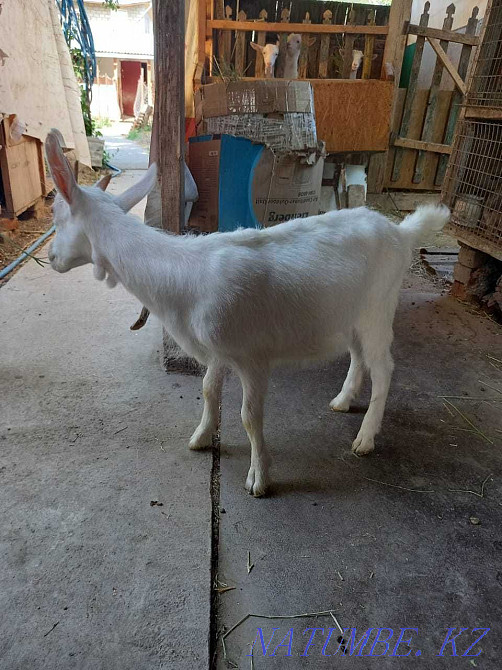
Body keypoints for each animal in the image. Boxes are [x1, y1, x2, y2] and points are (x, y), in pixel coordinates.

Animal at [45, 130, 450, 497]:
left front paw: (260, 477)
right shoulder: (218, 350)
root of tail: (401, 232)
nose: (50, 258)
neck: (182, 272)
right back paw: (343, 400)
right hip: (348, 314)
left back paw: (365, 437)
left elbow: (249, 417)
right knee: (357, 357)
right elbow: (209, 391)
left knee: (383, 367)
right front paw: (202, 436)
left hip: (378, 308)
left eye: (57, 216)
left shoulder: (253, 357)